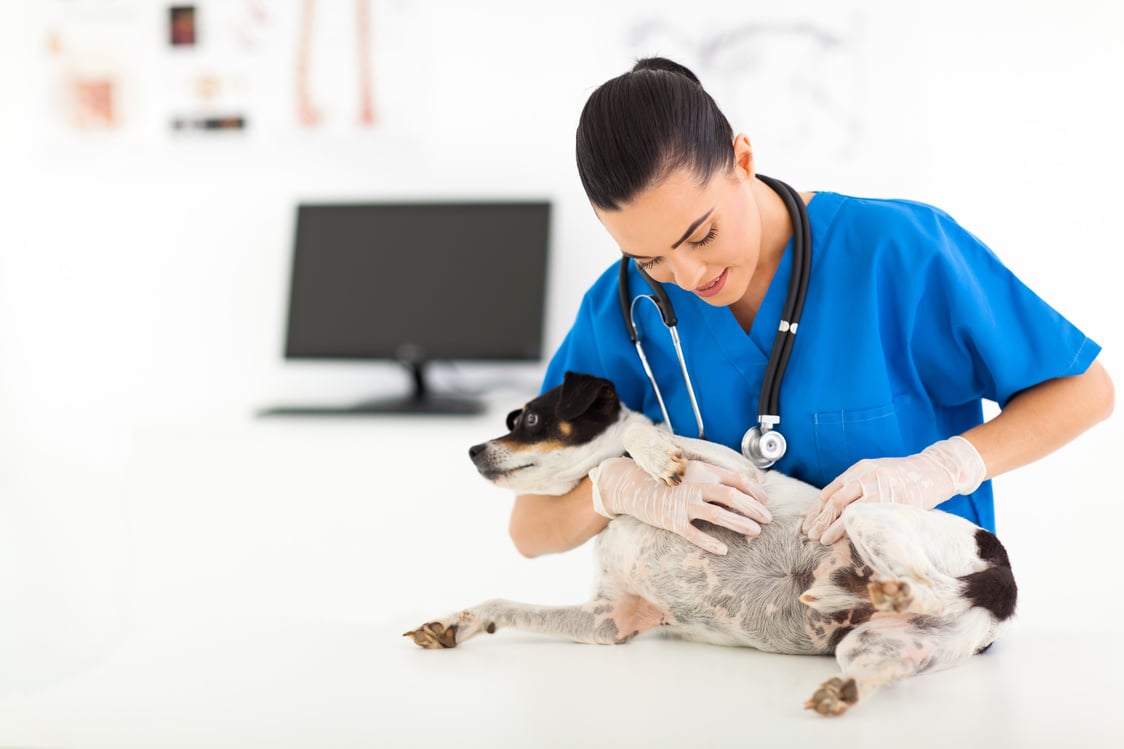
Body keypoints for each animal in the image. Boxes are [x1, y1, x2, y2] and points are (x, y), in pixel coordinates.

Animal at [406, 371, 1020, 715]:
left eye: (529, 418)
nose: (472, 450)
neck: (622, 518)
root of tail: (1002, 581)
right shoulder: (611, 622)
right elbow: (500, 604)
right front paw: (454, 623)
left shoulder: (738, 474)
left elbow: (638, 435)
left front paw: (656, 461)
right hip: (879, 647)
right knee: (882, 663)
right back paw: (841, 685)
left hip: (866, 515)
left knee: (924, 582)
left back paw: (866, 588)